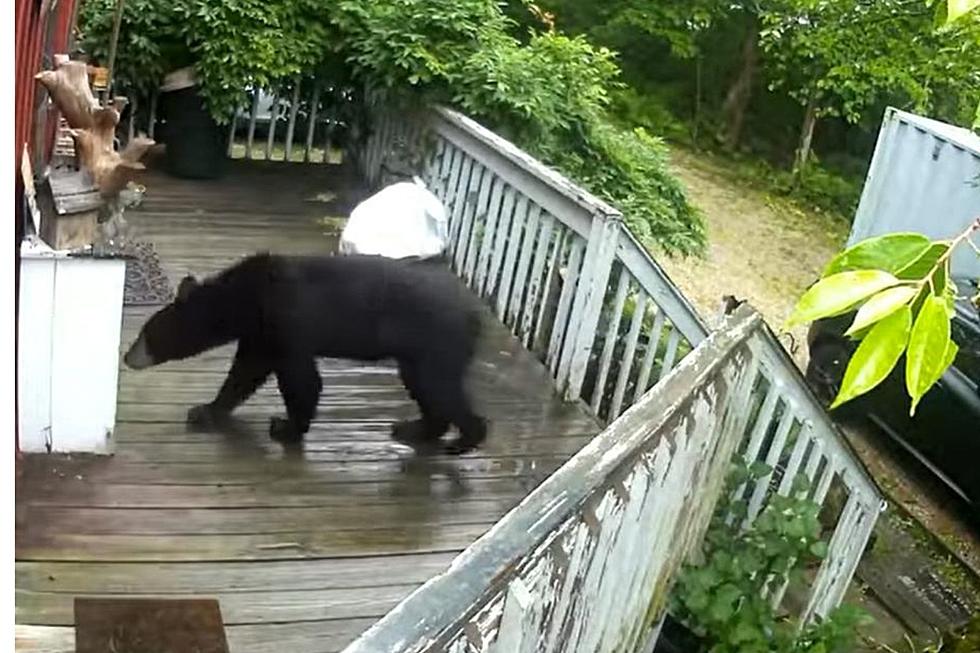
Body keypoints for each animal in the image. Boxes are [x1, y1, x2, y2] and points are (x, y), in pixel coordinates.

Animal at [124, 252, 488, 456]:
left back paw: (463, 441)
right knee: (424, 387)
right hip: (418, 352)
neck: (246, 299)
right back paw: (414, 429)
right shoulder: (260, 333)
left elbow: (300, 378)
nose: (127, 357)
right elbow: (245, 372)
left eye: (144, 334)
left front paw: (286, 427)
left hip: (435, 343)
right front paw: (206, 410)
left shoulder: (288, 321)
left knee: (440, 387)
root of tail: (475, 315)